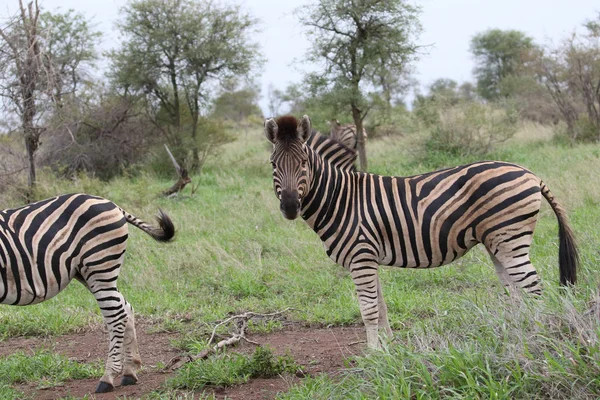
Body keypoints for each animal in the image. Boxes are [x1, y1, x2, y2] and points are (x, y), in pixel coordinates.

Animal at [0, 192, 175, 392]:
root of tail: (110, 203)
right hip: (87, 273)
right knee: (125, 308)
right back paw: (130, 371)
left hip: (100, 266)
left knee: (116, 316)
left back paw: (108, 378)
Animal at [264, 115, 580, 350]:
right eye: (273, 164)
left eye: (304, 162)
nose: (290, 206)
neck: (341, 198)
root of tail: (529, 172)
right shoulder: (367, 258)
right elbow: (381, 307)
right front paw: (389, 351)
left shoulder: (360, 257)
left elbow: (368, 310)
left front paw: (372, 357)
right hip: (497, 243)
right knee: (516, 292)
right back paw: (517, 336)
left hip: (510, 238)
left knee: (533, 288)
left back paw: (536, 337)